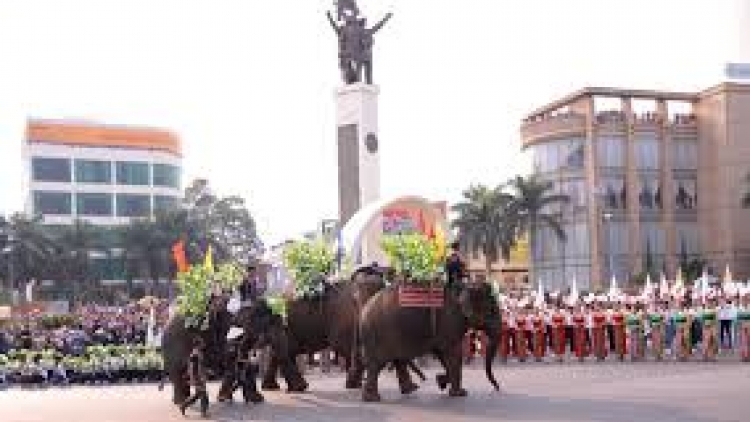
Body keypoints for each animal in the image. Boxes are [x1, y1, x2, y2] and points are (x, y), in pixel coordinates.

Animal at [358, 282, 500, 400]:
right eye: (492, 311)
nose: (497, 388)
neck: (464, 286)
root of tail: (363, 311)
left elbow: (443, 354)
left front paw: (441, 382)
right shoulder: (450, 322)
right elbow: (453, 355)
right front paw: (460, 393)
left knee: (398, 360)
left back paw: (410, 389)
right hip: (379, 335)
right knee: (377, 364)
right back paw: (373, 398)